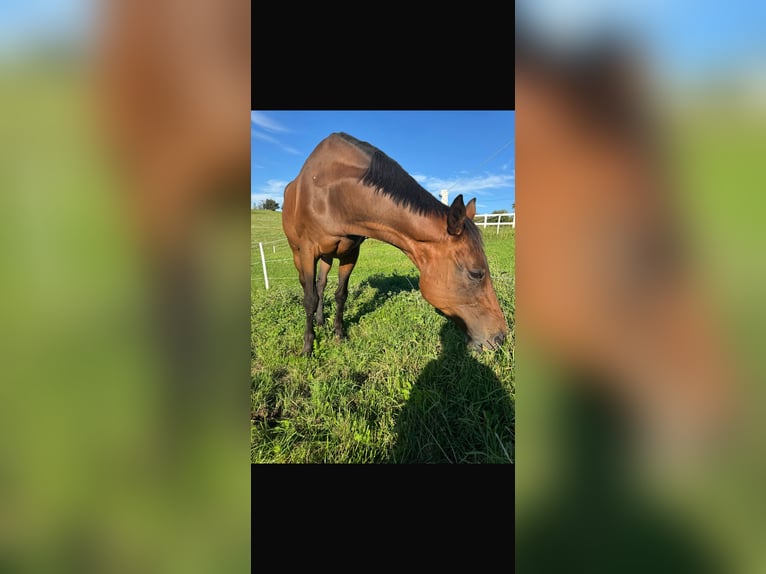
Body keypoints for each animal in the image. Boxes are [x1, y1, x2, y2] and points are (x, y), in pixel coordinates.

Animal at [281, 132, 509, 356]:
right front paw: (307, 347)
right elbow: (309, 299)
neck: (333, 195)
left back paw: (321, 320)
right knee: (310, 287)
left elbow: (340, 295)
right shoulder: (308, 251)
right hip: (298, 253)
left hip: (329, 255)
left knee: (321, 284)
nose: (500, 337)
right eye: (476, 273)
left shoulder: (350, 254)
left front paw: (338, 334)